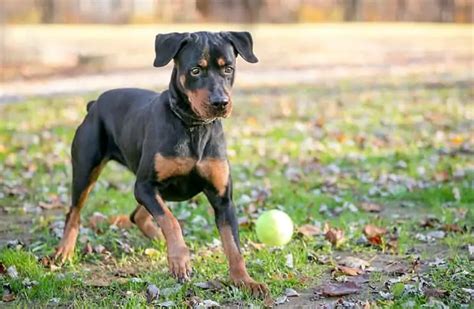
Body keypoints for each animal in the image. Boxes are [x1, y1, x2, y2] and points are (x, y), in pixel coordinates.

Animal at [54, 31, 268, 296]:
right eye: (195, 70)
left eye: (228, 68)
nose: (220, 103)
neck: (193, 127)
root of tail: (95, 104)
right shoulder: (145, 185)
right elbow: (171, 220)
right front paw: (180, 259)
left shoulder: (222, 199)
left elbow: (233, 245)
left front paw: (244, 281)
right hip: (86, 170)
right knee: (74, 211)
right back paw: (64, 251)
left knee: (137, 214)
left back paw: (156, 238)